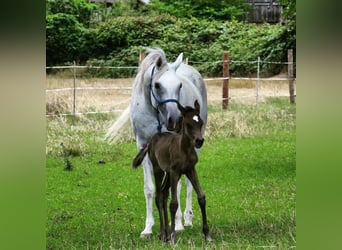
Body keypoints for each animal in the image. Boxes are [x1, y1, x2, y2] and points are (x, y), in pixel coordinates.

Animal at [133, 99, 211, 244]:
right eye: (188, 124)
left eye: (201, 122)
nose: (199, 141)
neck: (184, 149)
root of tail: (151, 140)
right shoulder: (175, 172)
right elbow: (174, 203)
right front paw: (173, 237)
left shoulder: (190, 170)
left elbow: (201, 197)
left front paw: (207, 235)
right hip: (159, 170)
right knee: (159, 196)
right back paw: (164, 235)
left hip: (168, 175)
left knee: (164, 194)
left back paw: (166, 233)